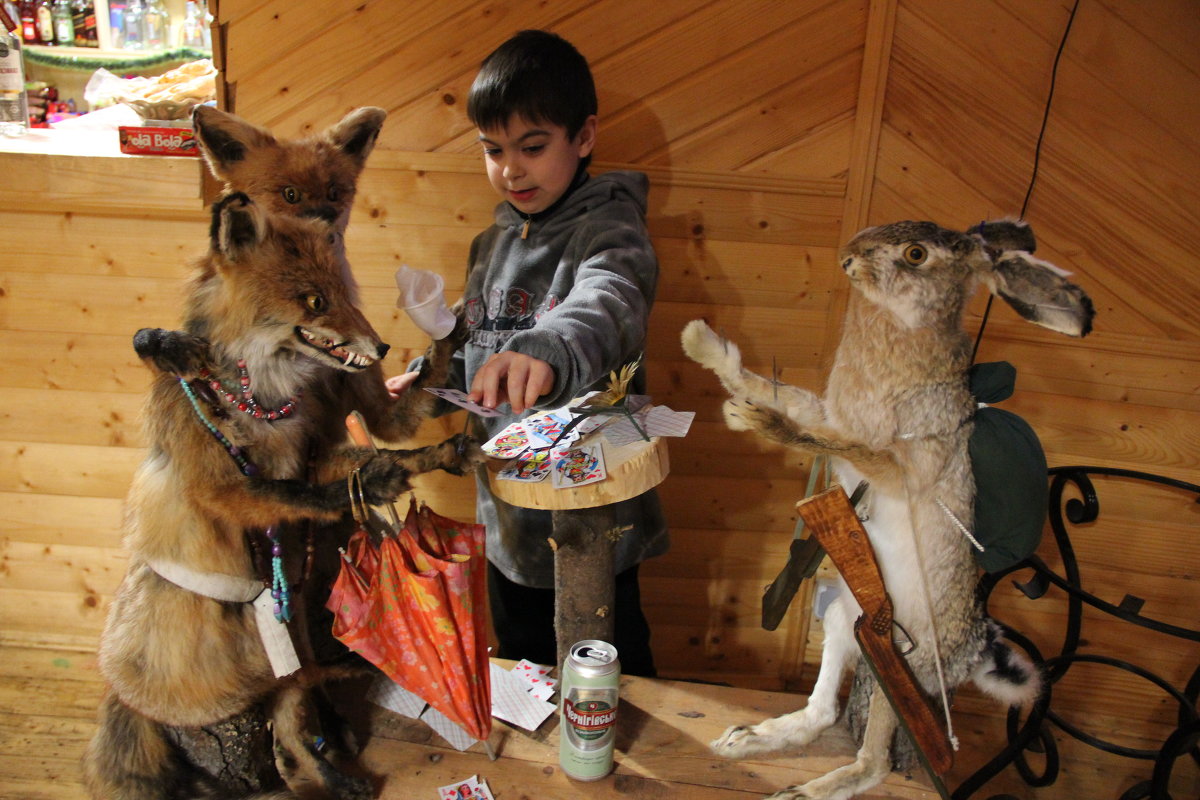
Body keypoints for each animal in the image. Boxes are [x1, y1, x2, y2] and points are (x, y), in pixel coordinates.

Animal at [681, 219, 1094, 800]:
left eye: (915, 255)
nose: (848, 259)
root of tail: (974, 651)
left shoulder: (901, 467)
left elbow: (833, 439)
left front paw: (760, 422)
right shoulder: (833, 415)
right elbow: (789, 396)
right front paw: (703, 345)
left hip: (903, 672)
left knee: (874, 760)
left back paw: (807, 789)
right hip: (841, 617)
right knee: (824, 712)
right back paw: (748, 740)